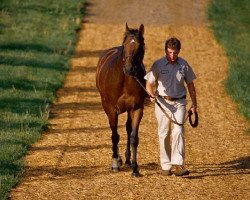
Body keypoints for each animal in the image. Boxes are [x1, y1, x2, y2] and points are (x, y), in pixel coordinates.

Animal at [95, 23, 146, 177]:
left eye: (140, 46)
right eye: (125, 44)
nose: (129, 68)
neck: (124, 80)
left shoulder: (137, 108)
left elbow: (134, 137)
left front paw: (135, 168)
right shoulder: (111, 109)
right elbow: (114, 135)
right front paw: (115, 163)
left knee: (128, 128)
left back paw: (127, 160)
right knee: (115, 132)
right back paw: (118, 159)